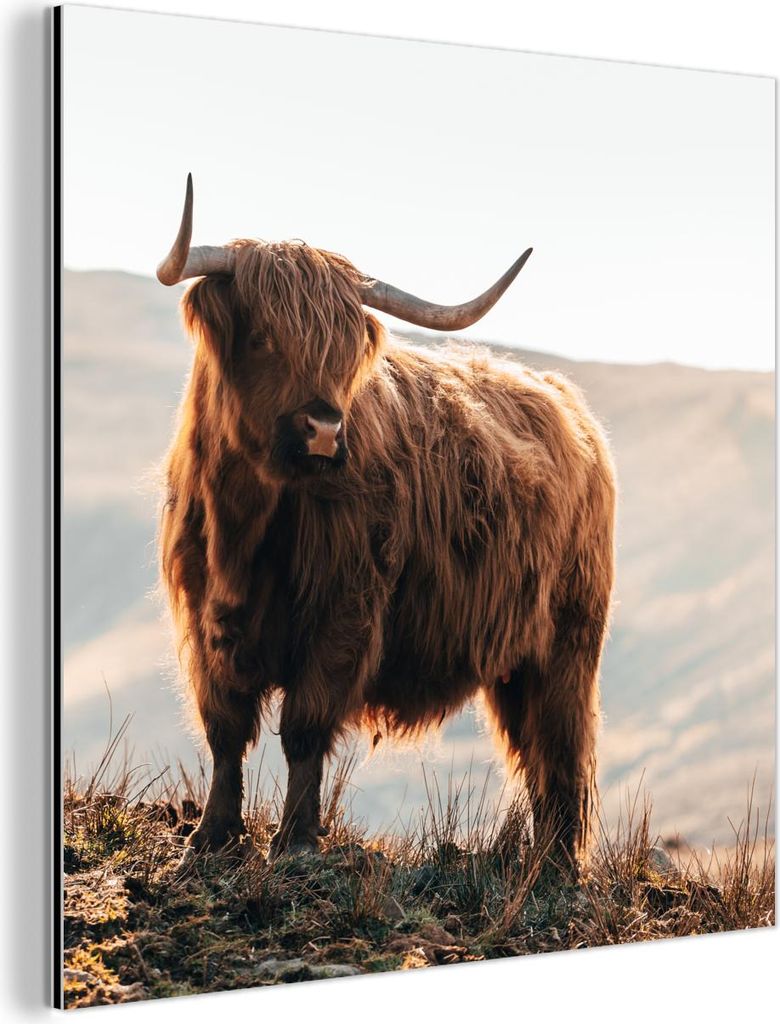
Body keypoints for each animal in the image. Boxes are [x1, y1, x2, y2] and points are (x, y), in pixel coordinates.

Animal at [157, 174, 615, 873]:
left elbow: (304, 728)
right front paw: (211, 835)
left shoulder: (343, 614)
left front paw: (295, 841)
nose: (324, 429)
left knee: (560, 748)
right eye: (263, 337)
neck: (248, 522)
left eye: (344, 353)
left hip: (567, 643)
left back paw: (555, 869)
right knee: (536, 752)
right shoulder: (206, 617)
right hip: (516, 662)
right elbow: (225, 728)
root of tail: (566, 401)